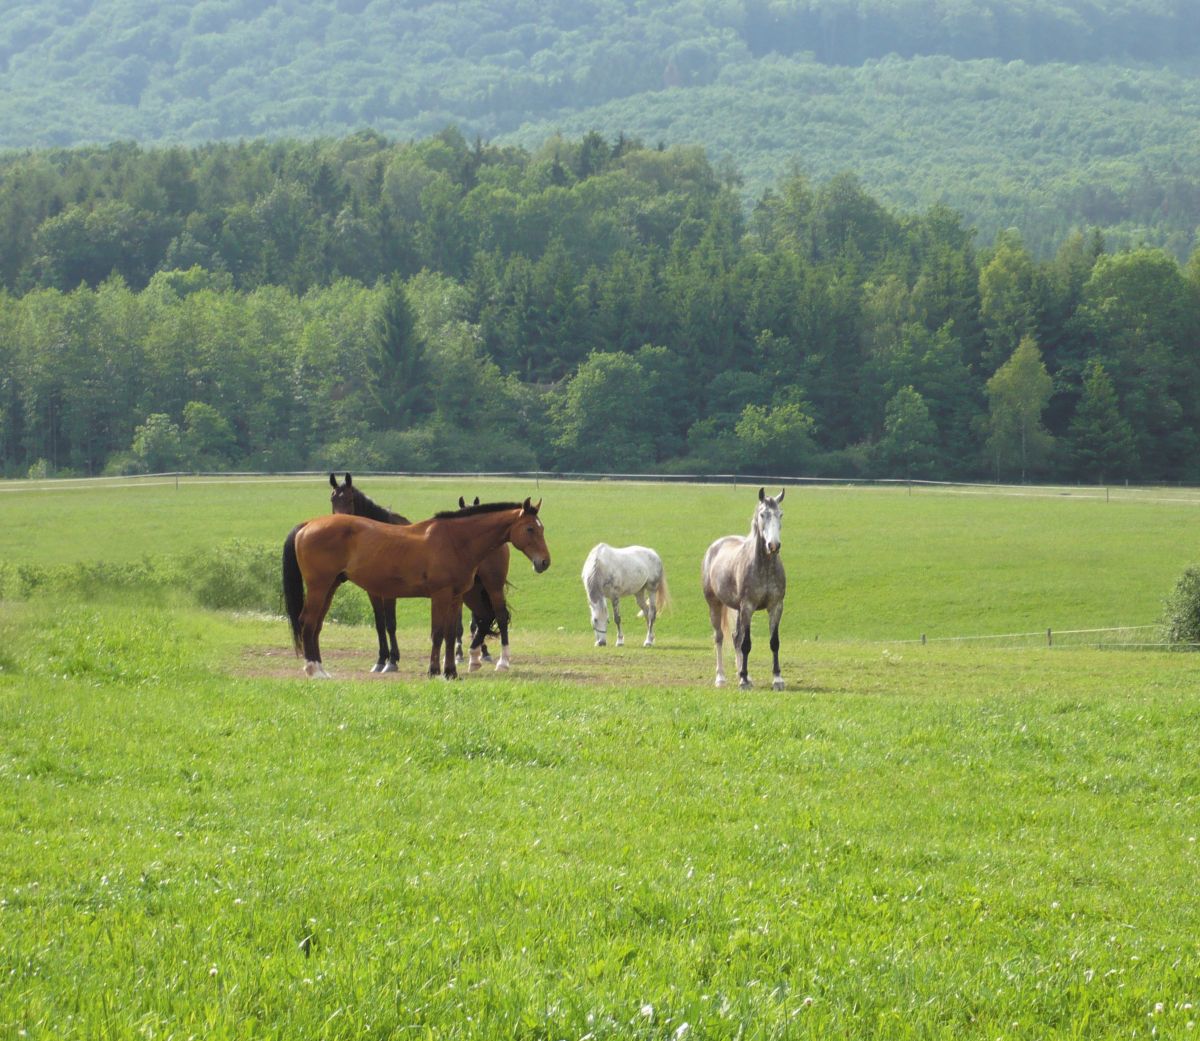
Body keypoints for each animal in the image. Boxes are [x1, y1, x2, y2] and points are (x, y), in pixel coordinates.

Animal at [283, 499, 549, 680]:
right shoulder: (440, 595)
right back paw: (313, 670)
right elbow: (438, 633)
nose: (544, 562)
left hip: (330, 586)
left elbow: (450, 634)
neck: (455, 540)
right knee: (308, 622)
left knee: (315, 626)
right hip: (319, 586)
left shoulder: (455, 597)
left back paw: (320, 669)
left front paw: (451, 672)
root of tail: (308, 524)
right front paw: (433, 670)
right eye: (530, 529)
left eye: (541, 528)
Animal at [701, 488, 786, 690]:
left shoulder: (776, 606)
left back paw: (742, 674)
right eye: (763, 514)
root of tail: (715, 547)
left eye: (780, 514)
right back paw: (721, 678)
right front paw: (744, 680)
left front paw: (777, 679)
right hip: (715, 605)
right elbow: (746, 643)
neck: (764, 567)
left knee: (735, 637)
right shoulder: (748, 607)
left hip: (738, 609)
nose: (773, 545)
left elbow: (774, 642)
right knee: (719, 637)